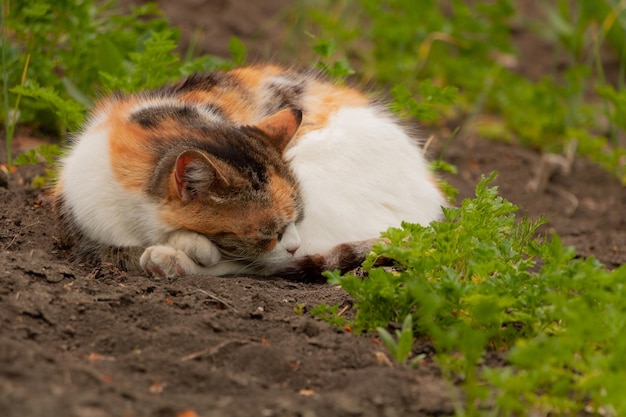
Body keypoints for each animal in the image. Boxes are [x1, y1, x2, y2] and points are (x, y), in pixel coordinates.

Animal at [53, 64, 444, 280]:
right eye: (268, 230)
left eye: (298, 217)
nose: (292, 239)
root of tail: (432, 211)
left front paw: (186, 249)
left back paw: (168, 261)